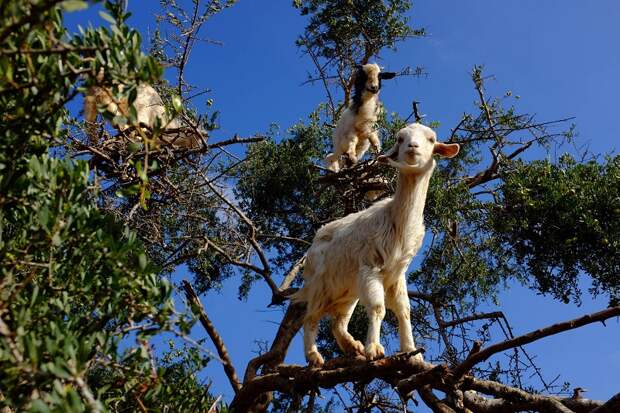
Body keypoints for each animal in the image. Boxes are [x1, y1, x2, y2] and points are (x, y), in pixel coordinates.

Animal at [294, 121, 458, 364]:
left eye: (431, 139)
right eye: (400, 138)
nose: (413, 147)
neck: (396, 221)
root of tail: (313, 247)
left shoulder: (397, 274)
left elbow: (404, 309)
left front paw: (412, 352)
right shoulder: (370, 268)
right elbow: (378, 308)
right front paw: (374, 349)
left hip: (347, 289)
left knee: (338, 321)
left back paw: (352, 346)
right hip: (320, 286)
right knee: (310, 317)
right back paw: (314, 355)